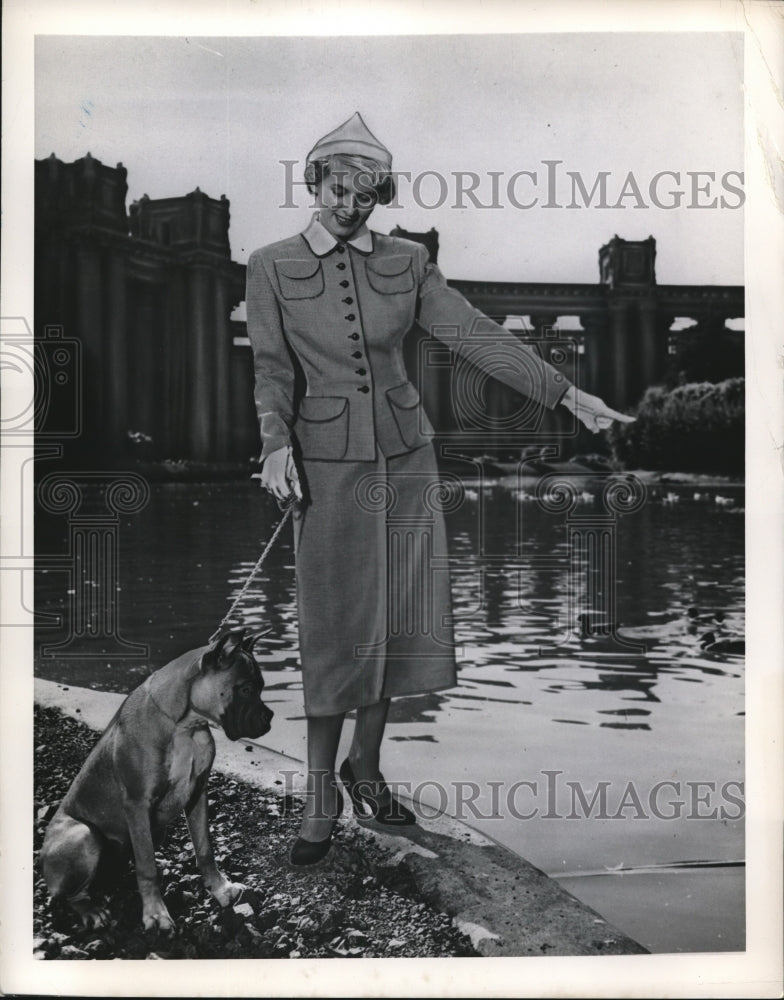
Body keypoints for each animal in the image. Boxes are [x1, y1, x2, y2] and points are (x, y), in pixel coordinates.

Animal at [39, 628, 272, 932]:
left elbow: (205, 849)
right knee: (69, 894)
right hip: (83, 836)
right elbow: (147, 868)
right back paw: (91, 910)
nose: (269, 716)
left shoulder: (198, 792)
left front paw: (220, 889)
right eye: (245, 689)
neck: (184, 726)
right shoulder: (137, 803)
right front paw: (155, 914)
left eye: (261, 687)